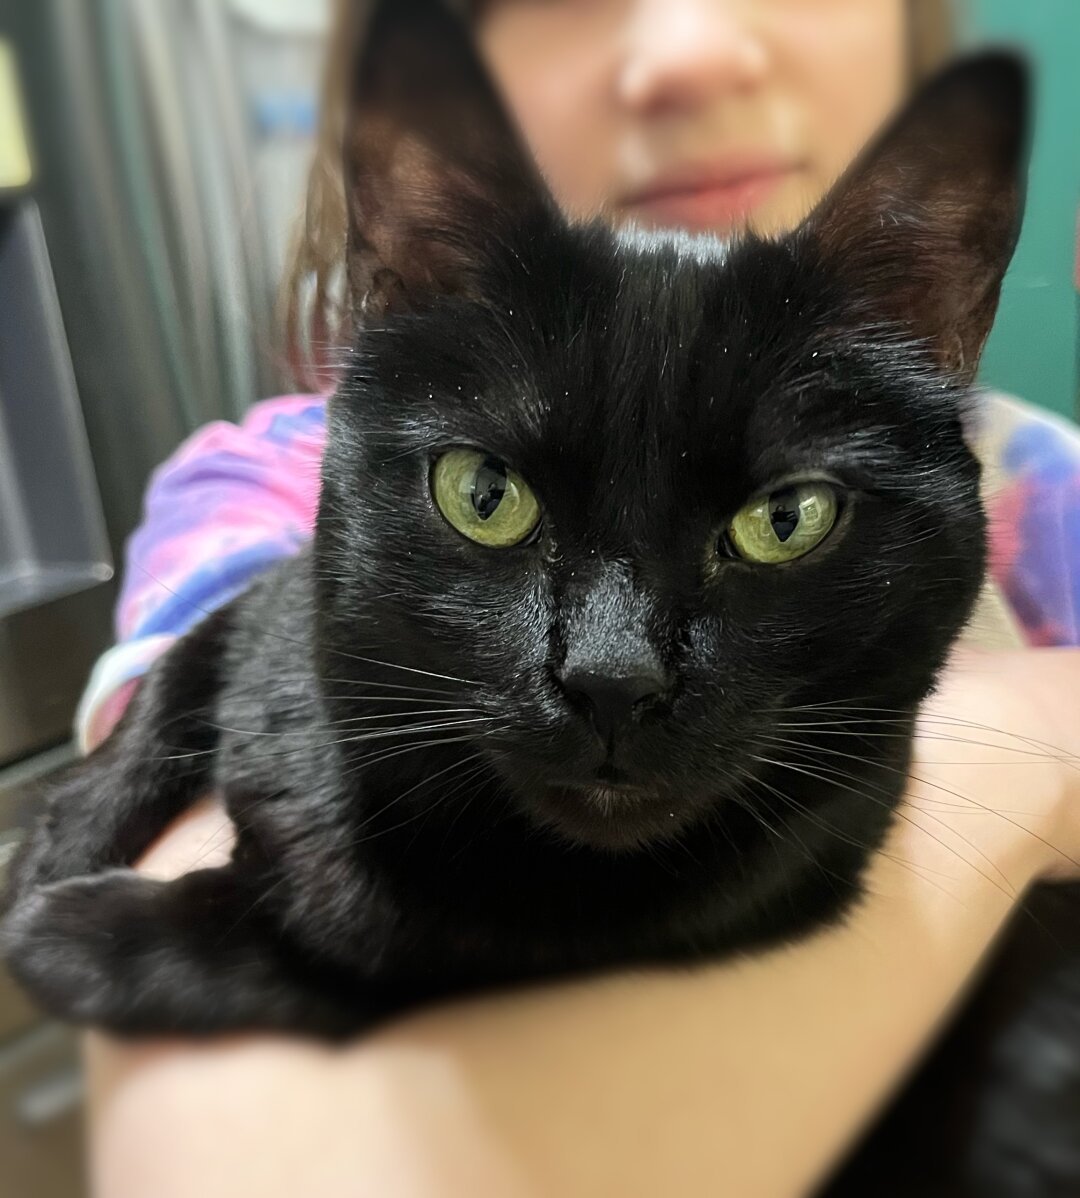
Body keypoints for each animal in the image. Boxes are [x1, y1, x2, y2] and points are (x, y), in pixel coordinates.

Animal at [4, 0, 1077, 1193]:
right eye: (484, 495)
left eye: (788, 519)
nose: (611, 680)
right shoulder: (274, 600)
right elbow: (179, 667)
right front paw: (57, 836)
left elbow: (327, 964)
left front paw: (75, 932)